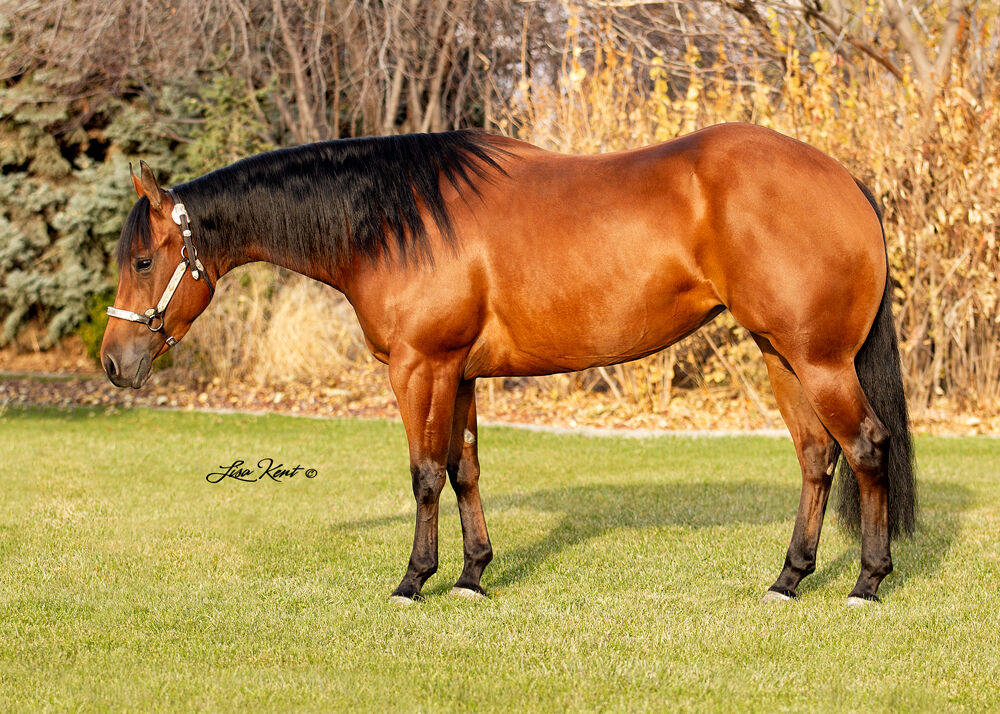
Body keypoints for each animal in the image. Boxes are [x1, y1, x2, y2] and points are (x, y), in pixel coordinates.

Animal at [100, 123, 915, 607]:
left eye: (143, 260)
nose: (113, 362)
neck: (400, 221)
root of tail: (844, 180)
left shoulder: (419, 368)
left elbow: (425, 474)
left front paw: (413, 580)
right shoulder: (458, 374)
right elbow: (464, 471)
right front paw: (471, 575)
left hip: (819, 361)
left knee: (867, 449)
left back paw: (867, 583)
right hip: (783, 356)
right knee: (816, 458)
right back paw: (789, 579)